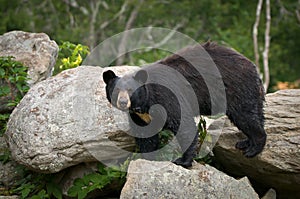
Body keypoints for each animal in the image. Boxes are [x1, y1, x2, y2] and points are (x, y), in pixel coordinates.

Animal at [103, 42, 268, 168]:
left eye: (131, 90)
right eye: (116, 90)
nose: (123, 102)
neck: (145, 102)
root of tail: (253, 67)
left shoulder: (167, 97)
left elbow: (183, 125)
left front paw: (183, 161)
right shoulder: (139, 115)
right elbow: (145, 135)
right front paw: (148, 158)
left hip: (237, 89)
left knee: (244, 116)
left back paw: (253, 148)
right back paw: (245, 143)